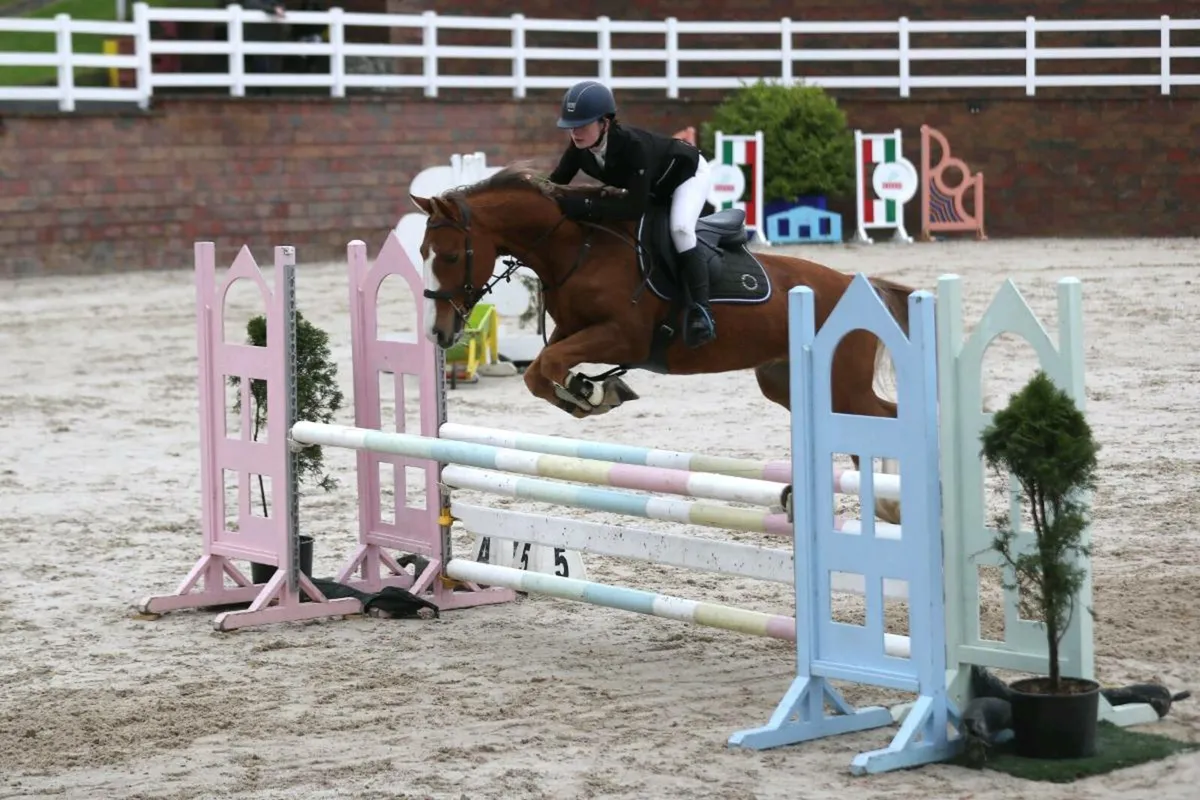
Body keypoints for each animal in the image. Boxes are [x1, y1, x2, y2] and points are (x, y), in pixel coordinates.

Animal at [410, 163, 915, 524]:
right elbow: (539, 372)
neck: (578, 249)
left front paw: (590, 393)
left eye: (450, 255)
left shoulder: (623, 337)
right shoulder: (574, 333)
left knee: (883, 419)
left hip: (842, 384)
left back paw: (891, 504)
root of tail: (859, 285)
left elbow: (549, 366)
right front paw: (592, 393)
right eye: (422, 253)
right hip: (785, 381)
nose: (438, 334)